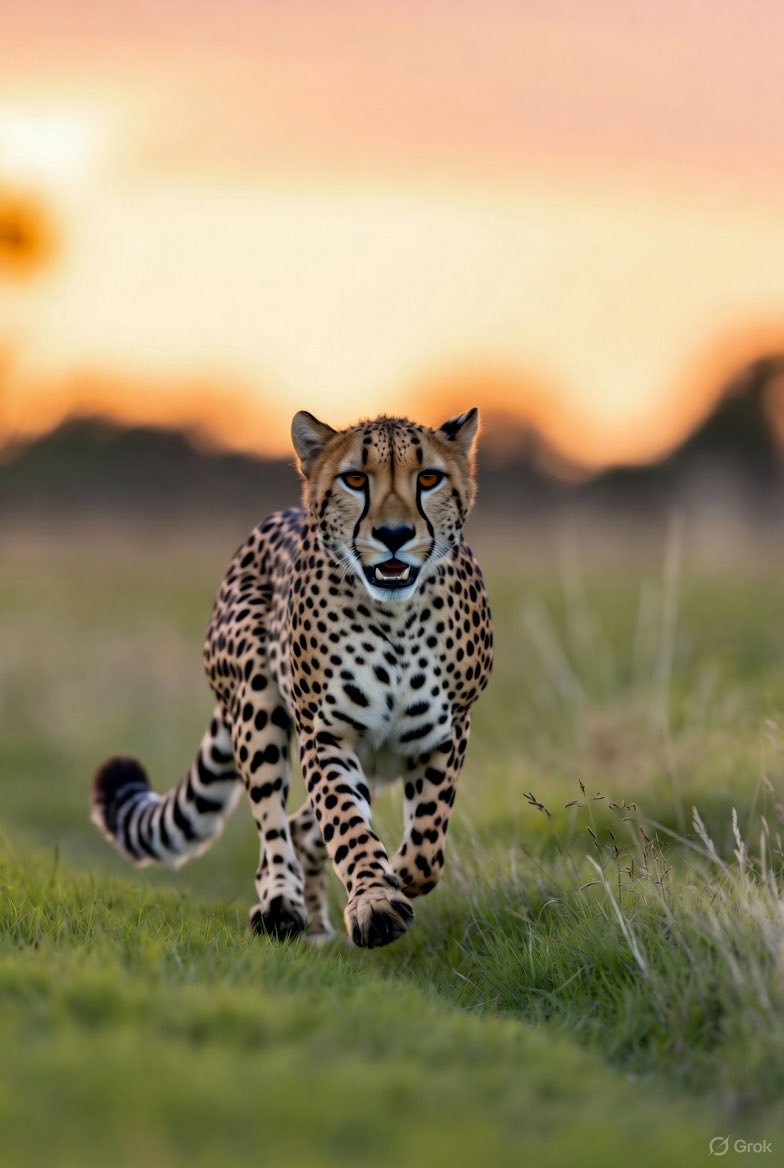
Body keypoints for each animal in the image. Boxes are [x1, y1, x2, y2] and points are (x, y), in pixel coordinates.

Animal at [91, 408, 494, 948]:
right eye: (354, 479)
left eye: (428, 478)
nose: (393, 534)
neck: (396, 617)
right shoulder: (326, 734)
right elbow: (347, 826)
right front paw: (376, 901)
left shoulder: (445, 731)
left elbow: (427, 843)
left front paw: (397, 879)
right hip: (257, 705)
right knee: (275, 830)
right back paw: (283, 907)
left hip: (376, 760)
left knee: (305, 828)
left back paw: (320, 927)